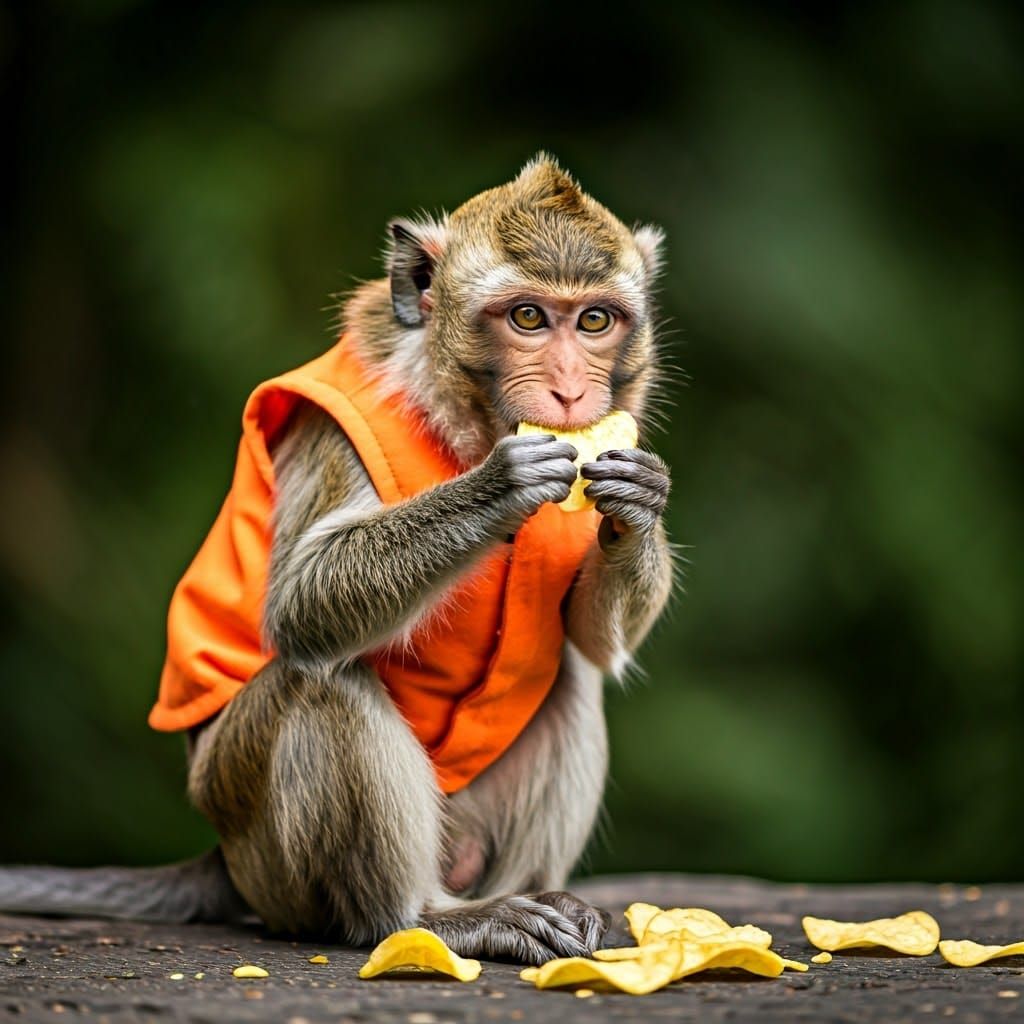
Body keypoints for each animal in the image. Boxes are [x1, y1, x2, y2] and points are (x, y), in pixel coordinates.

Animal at [0, 155, 674, 964]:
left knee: (569, 679)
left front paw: (640, 504)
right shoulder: (331, 431)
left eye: (594, 320)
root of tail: (224, 857)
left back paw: (534, 897)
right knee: (321, 679)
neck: (463, 418)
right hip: (263, 845)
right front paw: (499, 487)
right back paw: (427, 918)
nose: (571, 392)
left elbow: (592, 641)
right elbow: (301, 602)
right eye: (529, 318)